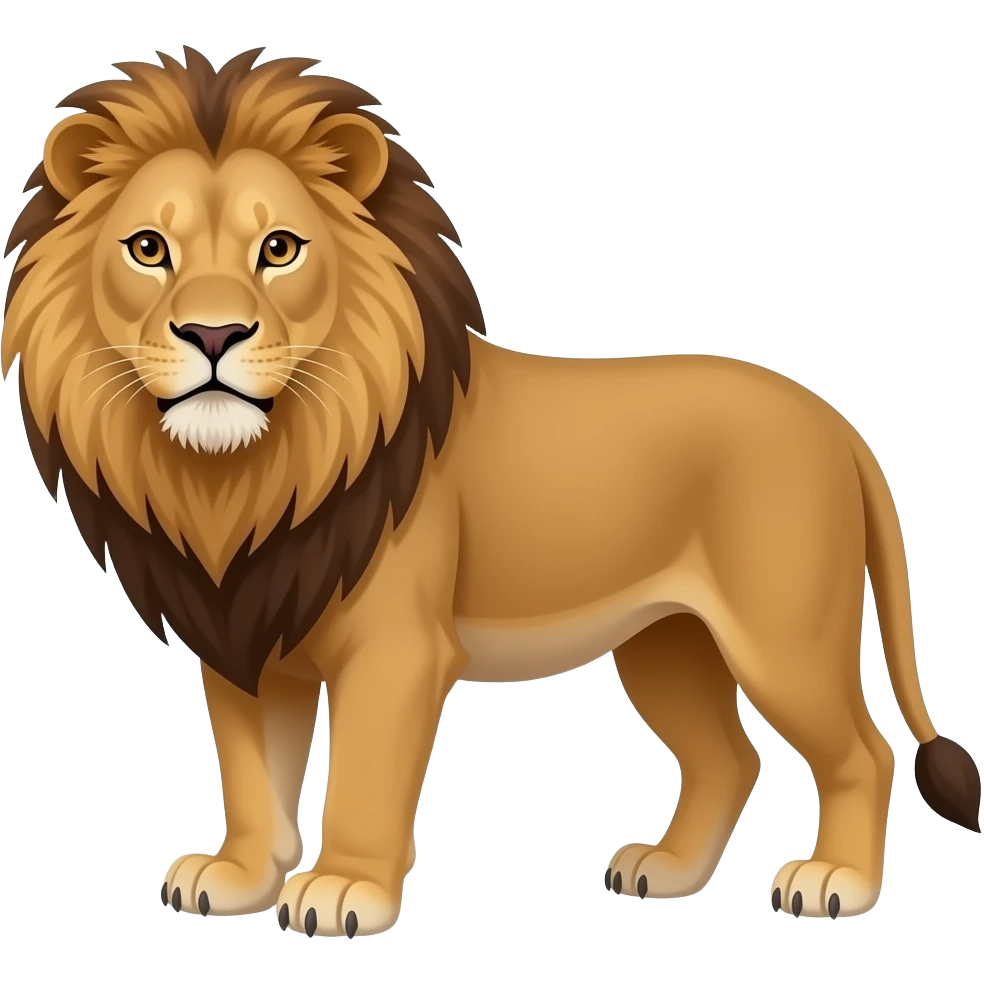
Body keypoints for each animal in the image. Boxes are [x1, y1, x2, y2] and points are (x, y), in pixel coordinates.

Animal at [2, 46, 979, 938]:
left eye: (278, 249)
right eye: (148, 249)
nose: (212, 333)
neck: (245, 475)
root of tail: (838, 425)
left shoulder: (396, 649)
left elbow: (362, 775)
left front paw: (344, 888)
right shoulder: (247, 633)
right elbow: (252, 775)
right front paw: (239, 877)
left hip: (783, 635)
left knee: (864, 753)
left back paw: (834, 883)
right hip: (667, 642)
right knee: (729, 758)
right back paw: (665, 872)